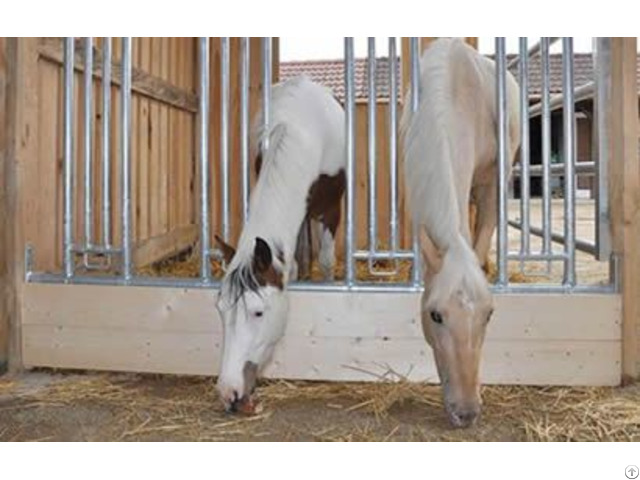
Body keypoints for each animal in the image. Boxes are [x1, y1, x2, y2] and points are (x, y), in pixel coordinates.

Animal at [214, 76, 344, 412]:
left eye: (258, 313)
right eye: (221, 309)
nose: (230, 393)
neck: (300, 128)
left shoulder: (330, 209)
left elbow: (326, 261)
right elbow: (293, 265)